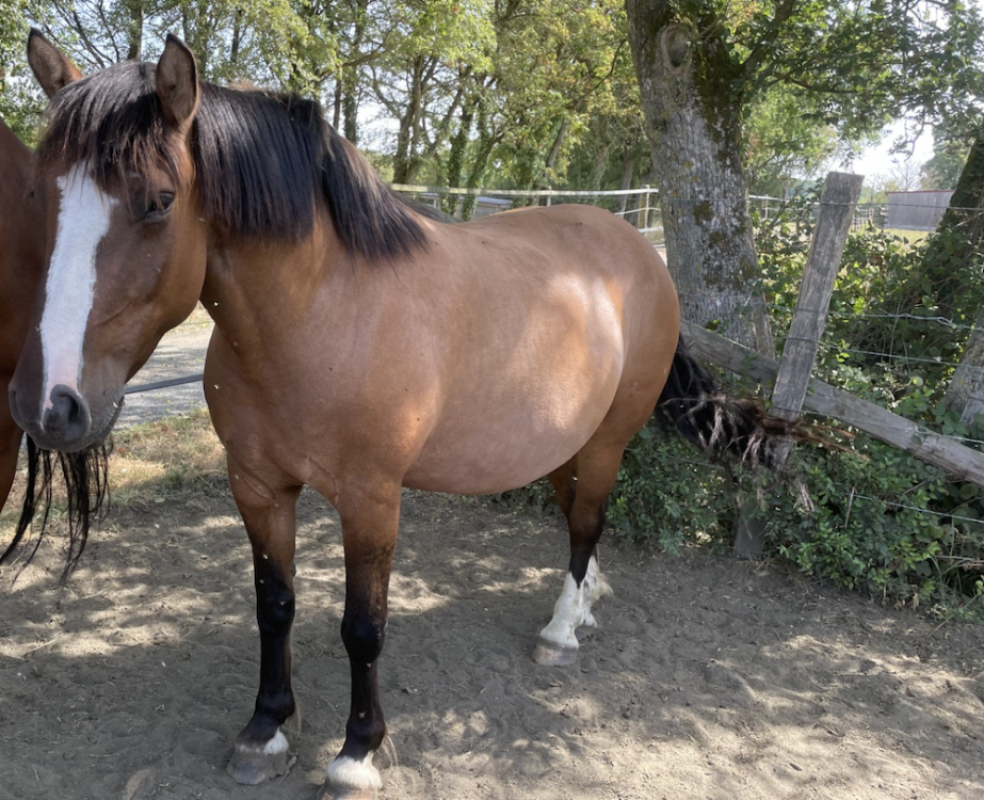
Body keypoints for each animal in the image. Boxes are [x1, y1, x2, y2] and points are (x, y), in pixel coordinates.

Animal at [12, 31, 776, 799]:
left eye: (159, 201)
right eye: (41, 198)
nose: (50, 403)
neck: (323, 314)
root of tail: (639, 252)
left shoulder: (371, 499)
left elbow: (363, 627)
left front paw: (356, 753)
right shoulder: (257, 486)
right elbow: (273, 605)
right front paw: (266, 729)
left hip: (608, 440)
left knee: (588, 524)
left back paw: (561, 632)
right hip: (566, 444)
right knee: (579, 522)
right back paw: (583, 605)